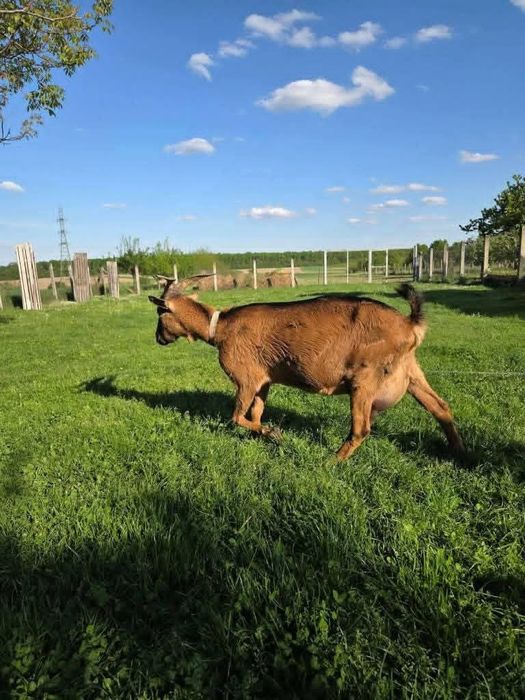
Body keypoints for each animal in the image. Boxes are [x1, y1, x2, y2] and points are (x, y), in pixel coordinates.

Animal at [148, 281, 464, 460]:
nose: (158, 338)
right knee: (441, 407)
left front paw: (274, 433)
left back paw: (332, 461)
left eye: (160, 314)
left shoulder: (245, 378)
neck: (220, 327)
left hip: (365, 377)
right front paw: (266, 433)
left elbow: (236, 417)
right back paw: (459, 453)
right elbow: (255, 413)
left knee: (361, 428)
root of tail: (410, 324)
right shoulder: (264, 381)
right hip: (411, 371)